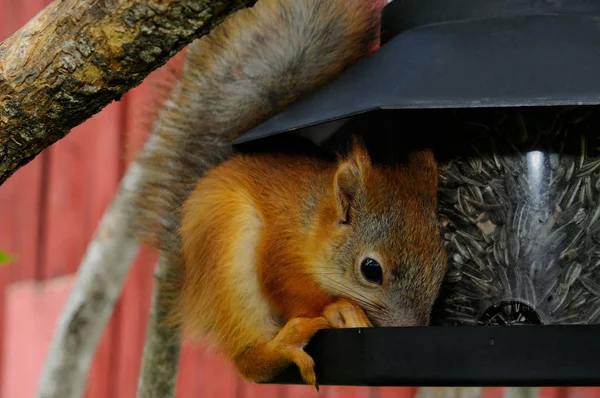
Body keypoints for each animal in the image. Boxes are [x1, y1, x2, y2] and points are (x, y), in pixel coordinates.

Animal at [131, 0, 446, 388]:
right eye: (371, 270)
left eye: (443, 262)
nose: (410, 330)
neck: (313, 223)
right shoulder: (279, 249)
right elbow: (288, 286)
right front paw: (338, 308)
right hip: (225, 252)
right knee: (248, 359)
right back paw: (281, 347)